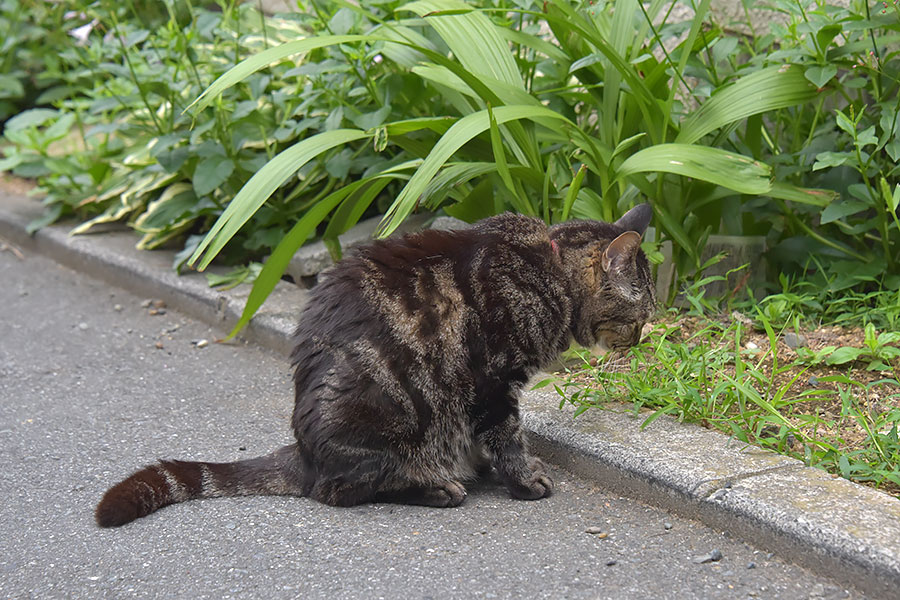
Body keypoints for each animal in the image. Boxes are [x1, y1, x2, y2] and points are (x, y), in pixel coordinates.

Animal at [95, 203, 652, 524]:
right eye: (644, 312)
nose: (642, 340)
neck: (549, 269)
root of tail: (305, 453)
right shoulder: (495, 382)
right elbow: (509, 436)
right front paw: (524, 481)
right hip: (382, 417)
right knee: (339, 490)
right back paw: (436, 487)